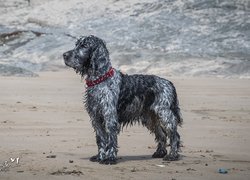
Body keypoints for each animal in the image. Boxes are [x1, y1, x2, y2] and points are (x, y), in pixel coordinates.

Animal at [63, 35, 183, 165]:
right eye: (76, 44)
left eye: (84, 45)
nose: (64, 55)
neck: (100, 80)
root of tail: (169, 83)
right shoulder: (96, 118)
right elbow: (101, 140)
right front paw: (100, 157)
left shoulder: (109, 117)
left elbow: (111, 140)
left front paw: (109, 158)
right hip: (150, 118)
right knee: (162, 135)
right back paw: (160, 153)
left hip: (165, 114)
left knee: (174, 135)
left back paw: (172, 155)